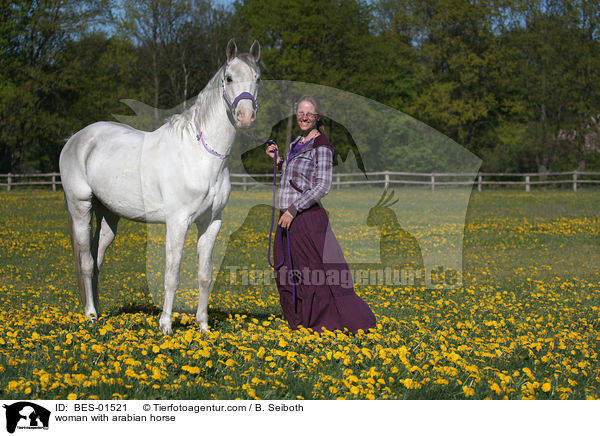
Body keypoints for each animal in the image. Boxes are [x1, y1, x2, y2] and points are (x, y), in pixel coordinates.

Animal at [59, 40, 262, 334]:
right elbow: (172, 274)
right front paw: (165, 325)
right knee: (86, 262)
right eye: (229, 78)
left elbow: (205, 275)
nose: (245, 116)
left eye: (257, 78)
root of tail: (75, 139)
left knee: (97, 261)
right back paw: (90, 315)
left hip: (108, 216)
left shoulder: (211, 222)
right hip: (80, 207)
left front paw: (203, 326)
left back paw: (97, 311)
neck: (201, 156)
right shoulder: (177, 222)